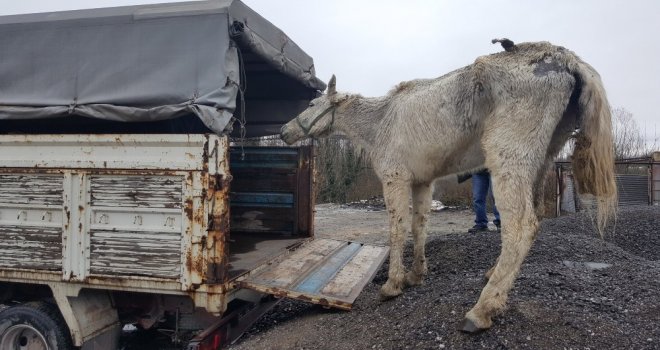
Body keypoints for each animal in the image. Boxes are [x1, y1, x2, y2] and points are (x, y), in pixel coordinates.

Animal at [280, 39, 620, 332]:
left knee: (521, 226)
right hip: (543, 160)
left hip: (508, 161)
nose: (284, 130)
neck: (380, 121)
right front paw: (416, 274)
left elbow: (397, 229)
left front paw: (393, 284)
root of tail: (567, 60)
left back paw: (483, 308)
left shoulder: (395, 178)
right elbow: (419, 226)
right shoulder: (422, 182)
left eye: (312, 103)